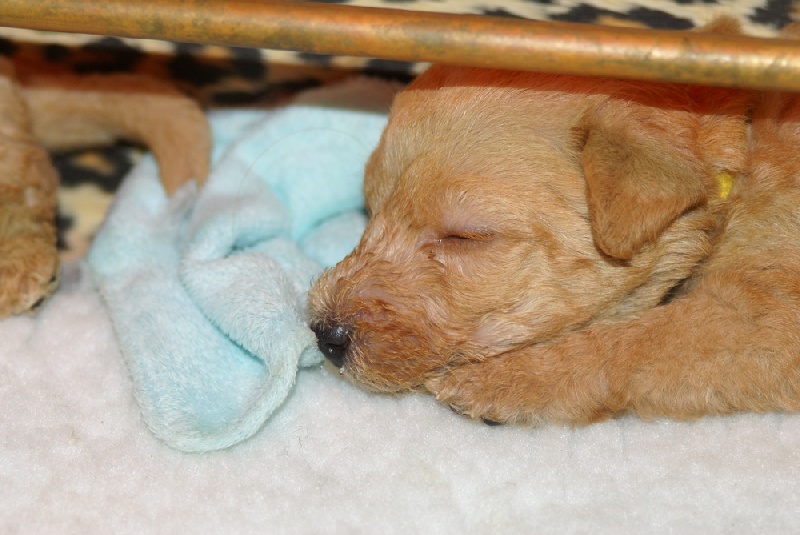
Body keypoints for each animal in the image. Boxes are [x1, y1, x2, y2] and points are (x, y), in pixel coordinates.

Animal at [308, 23, 800, 425]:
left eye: (463, 237)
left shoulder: (766, 321)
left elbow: (639, 340)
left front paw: (498, 380)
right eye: (370, 209)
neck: (740, 154)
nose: (325, 335)